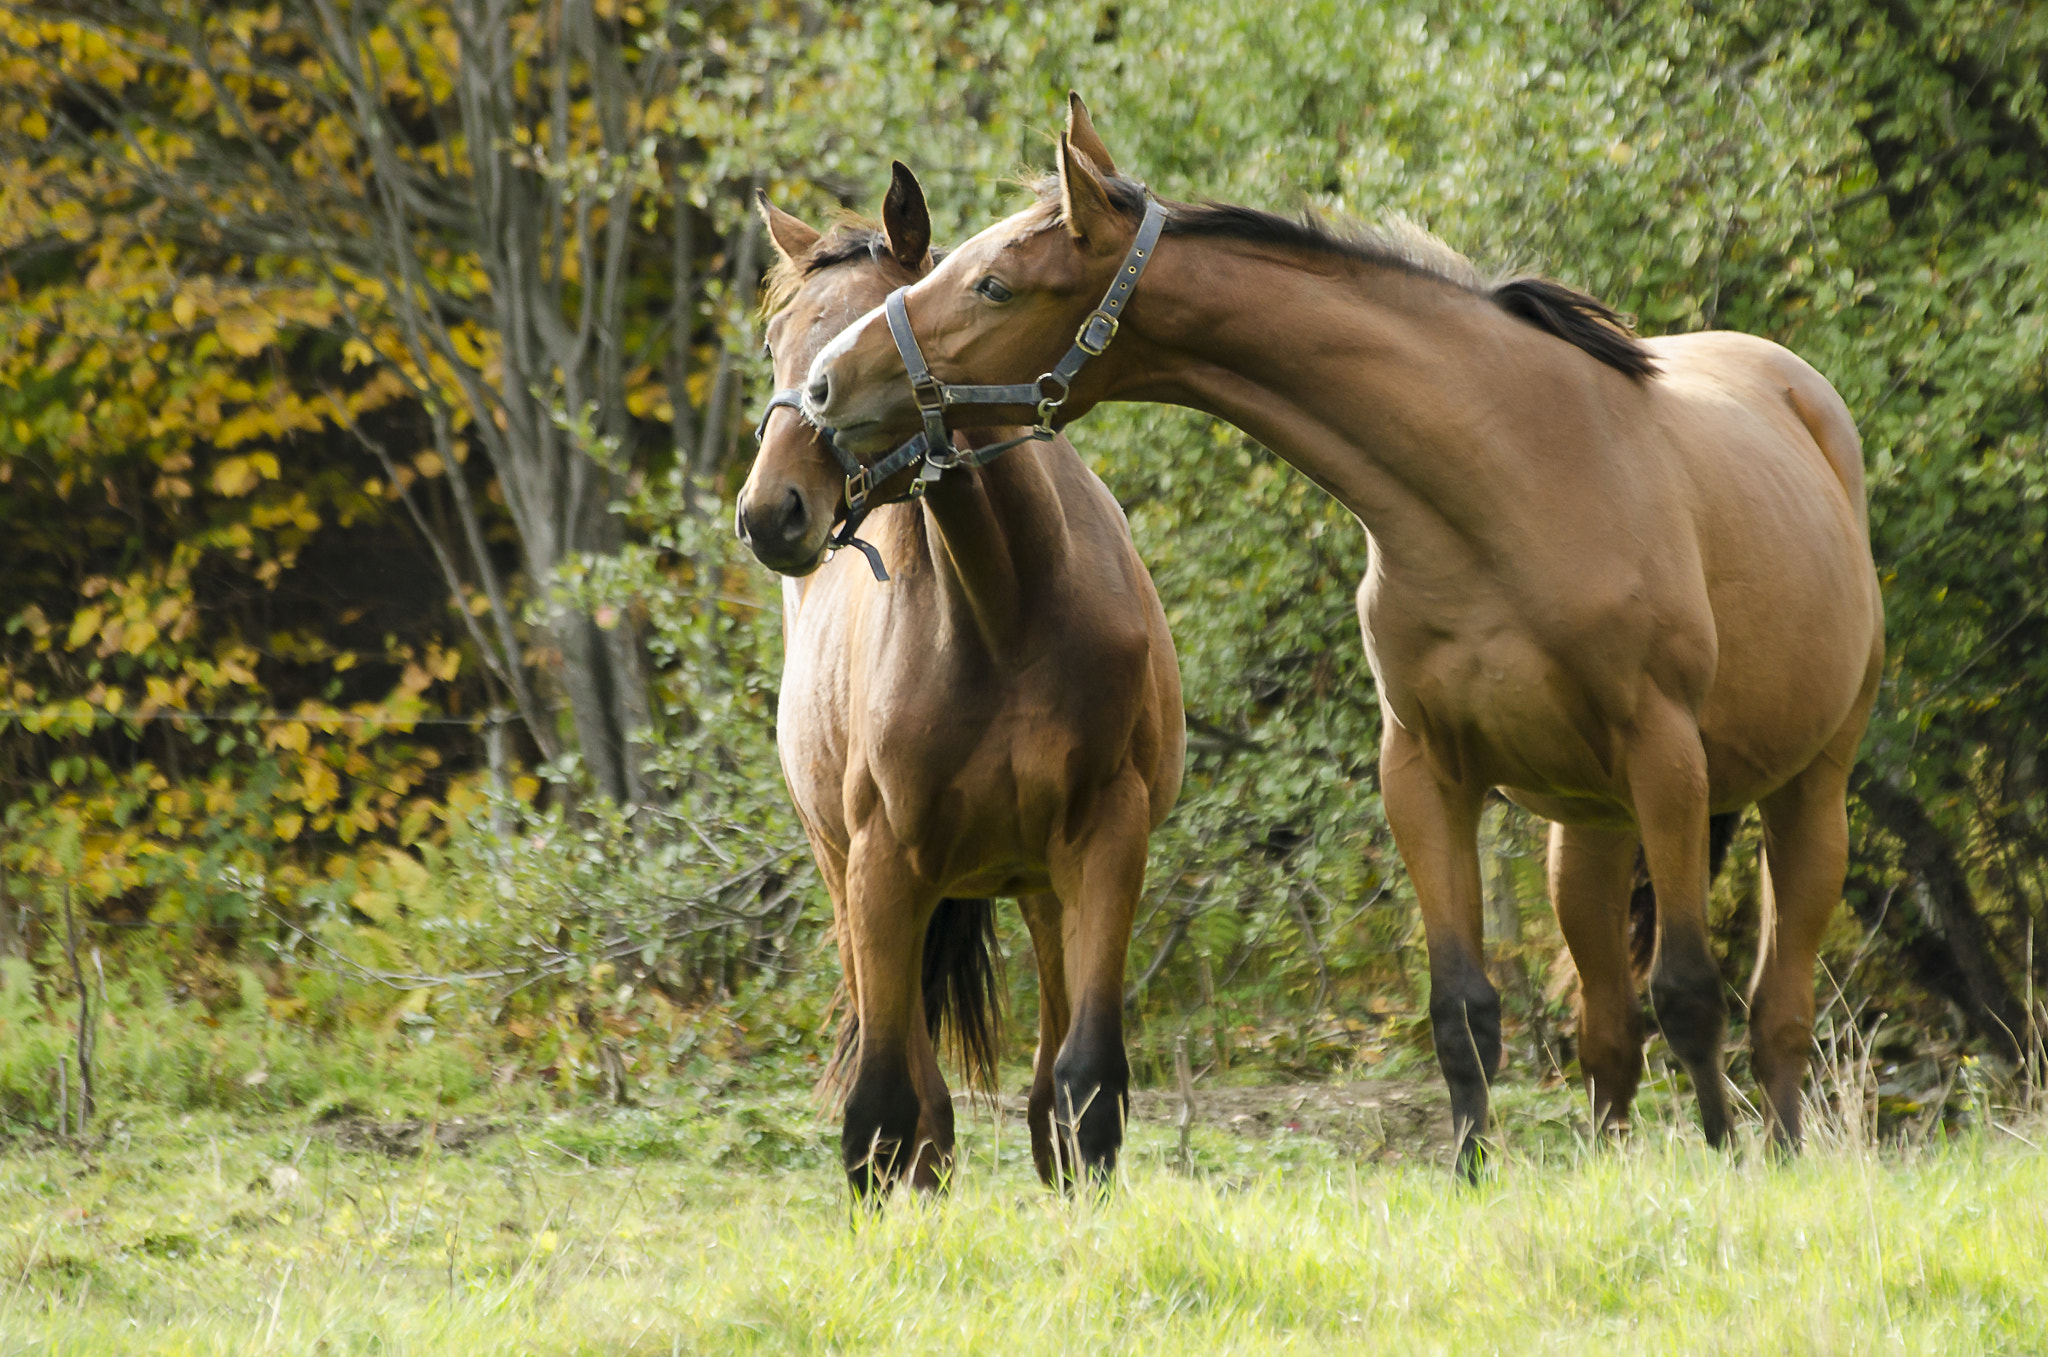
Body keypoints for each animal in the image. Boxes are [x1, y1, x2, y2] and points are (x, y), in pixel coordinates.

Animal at [737, 164, 1187, 1195]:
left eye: (874, 323)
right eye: (775, 346)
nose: (771, 511)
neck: (1005, 609)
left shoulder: (1103, 841)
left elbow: (1082, 1089)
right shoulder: (880, 867)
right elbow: (883, 1111)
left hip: (1039, 887)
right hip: (849, 875)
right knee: (923, 1109)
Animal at [798, 98, 1884, 1178]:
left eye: (993, 283)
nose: (821, 391)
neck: (1517, 478)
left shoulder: (1667, 761)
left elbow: (1690, 993)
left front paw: (1728, 1165)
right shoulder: (1425, 773)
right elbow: (1462, 1011)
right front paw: (1472, 1174)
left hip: (1804, 793)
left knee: (1773, 1013)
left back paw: (1783, 1154)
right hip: (1587, 826)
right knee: (1609, 1028)